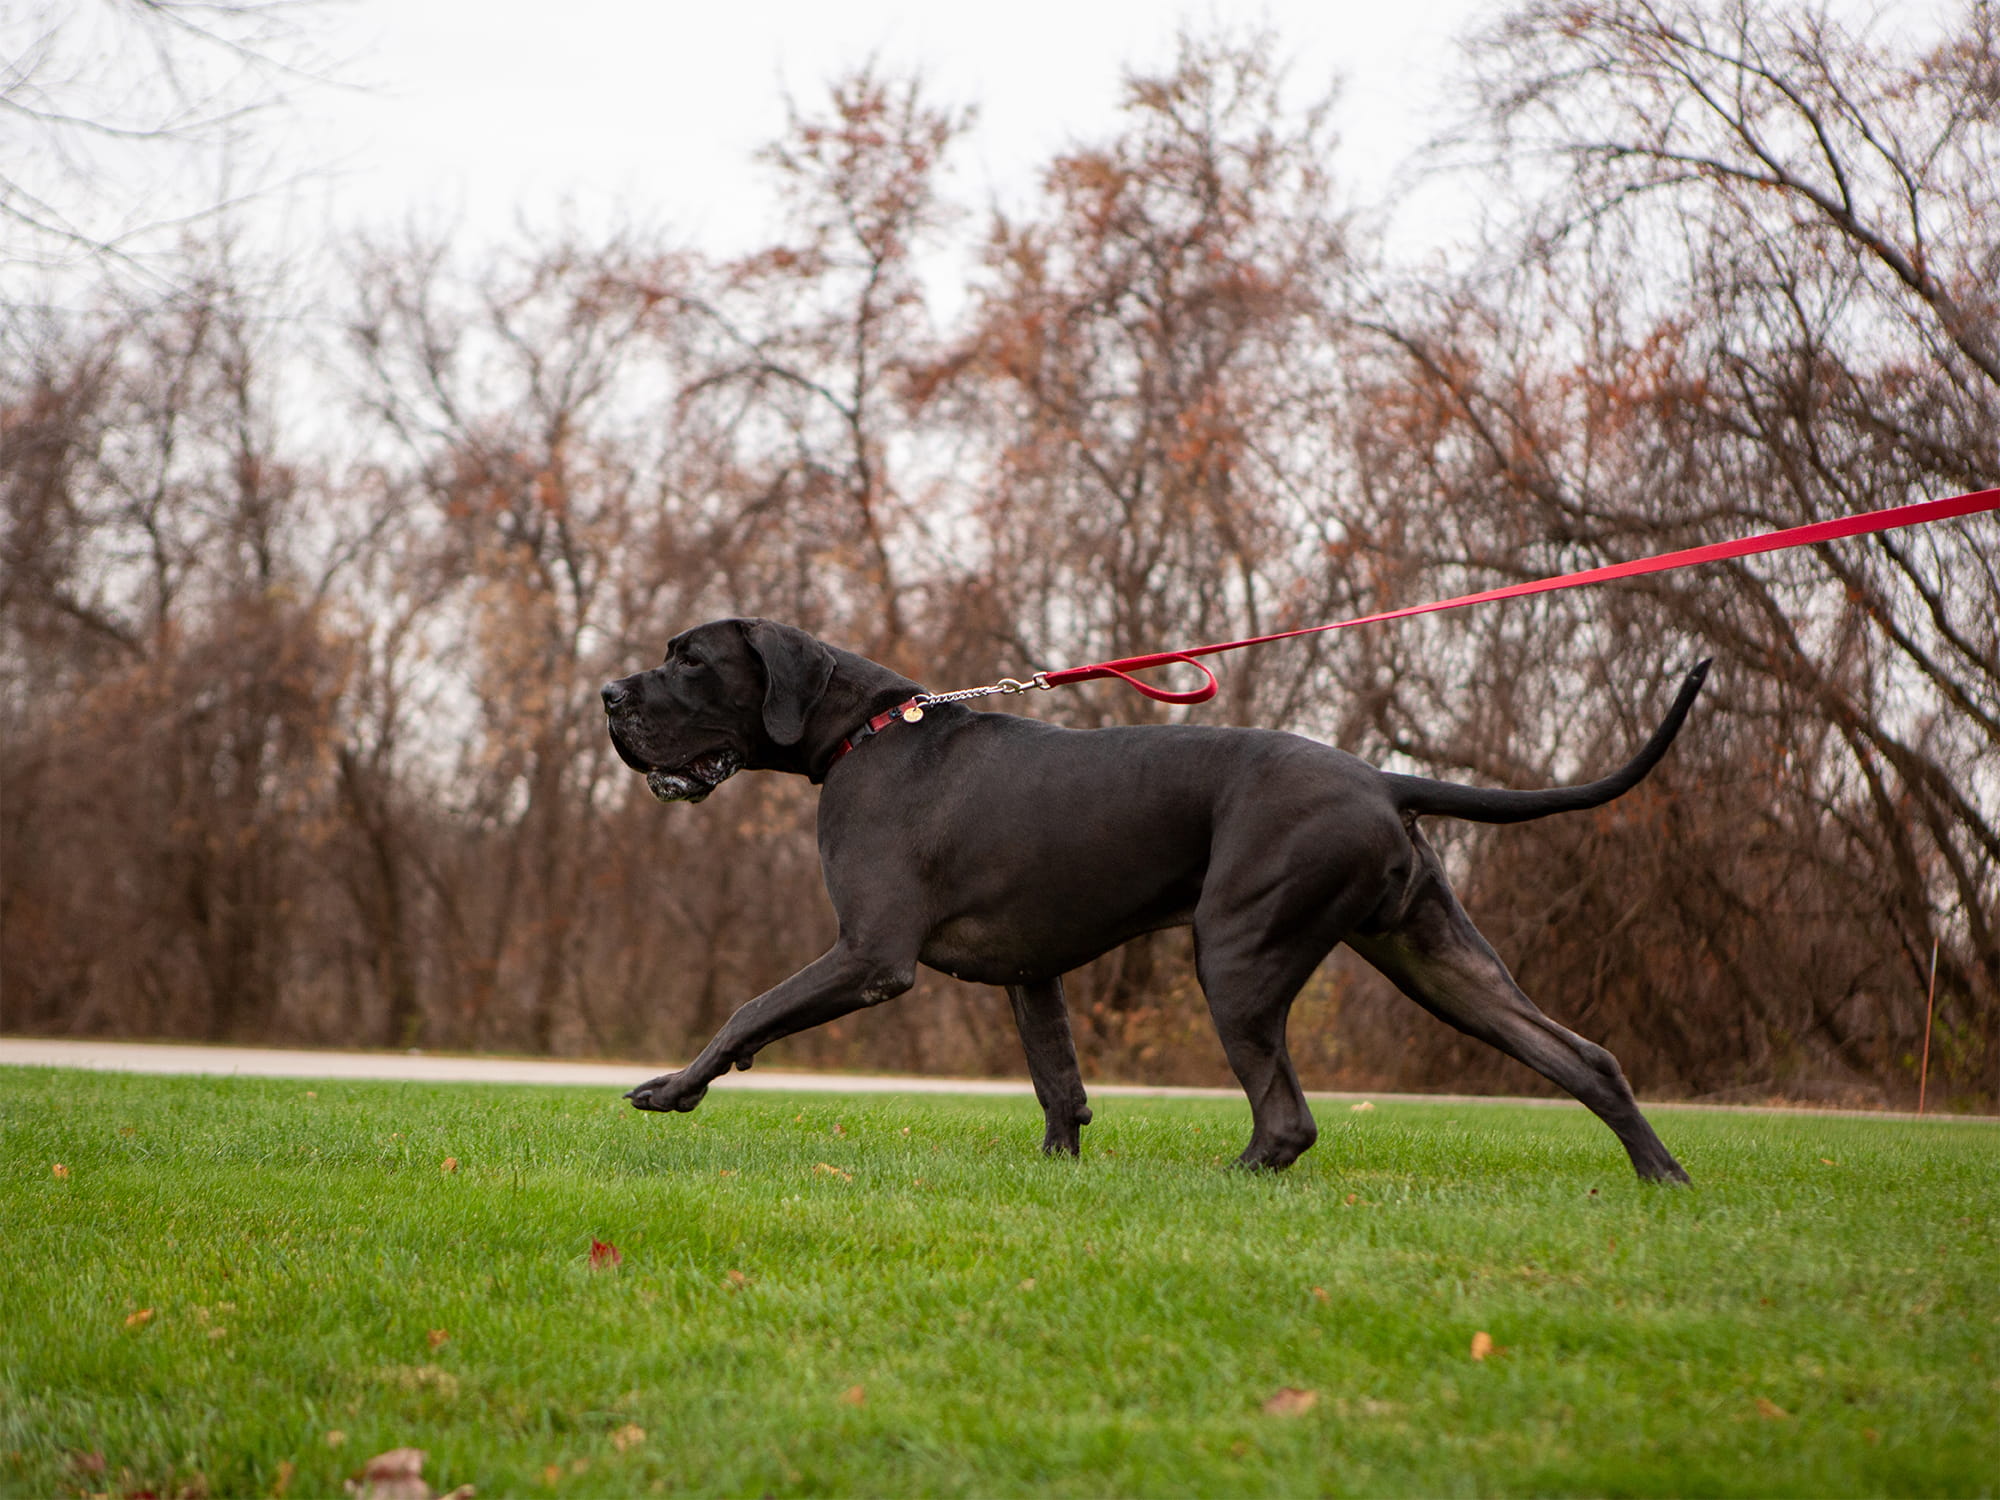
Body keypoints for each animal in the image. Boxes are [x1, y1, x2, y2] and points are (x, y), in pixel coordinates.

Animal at [604, 616, 1704, 1184]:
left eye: (689, 660)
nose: (610, 696)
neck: (862, 733)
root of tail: (1380, 781)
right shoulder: (1031, 971)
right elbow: (1058, 1082)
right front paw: (1057, 1173)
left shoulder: (870, 954)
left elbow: (750, 1008)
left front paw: (674, 1088)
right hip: (1436, 960)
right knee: (1584, 1057)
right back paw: (1662, 1179)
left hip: (1238, 950)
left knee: (1288, 1118)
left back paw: (1229, 1180)